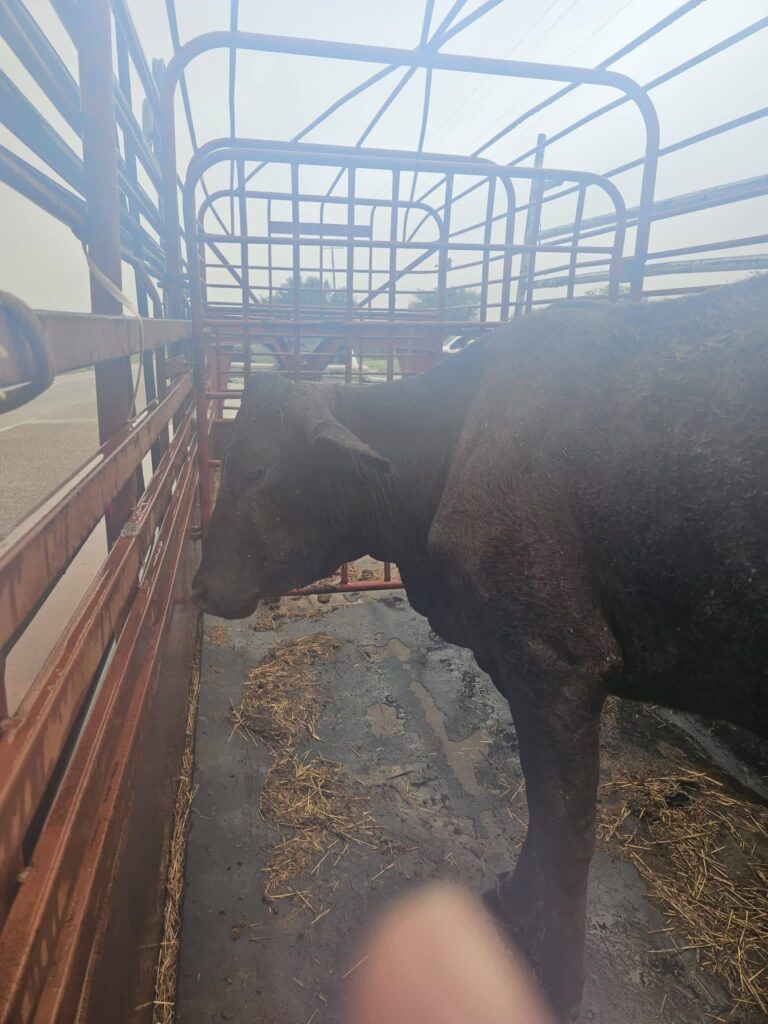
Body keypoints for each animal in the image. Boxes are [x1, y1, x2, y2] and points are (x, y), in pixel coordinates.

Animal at [192, 274, 768, 1019]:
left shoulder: (559, 665)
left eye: (256, 467)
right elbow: (542, 819)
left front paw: (557, 983)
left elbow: (565, 832)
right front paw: (515, 908)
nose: (200, 585)